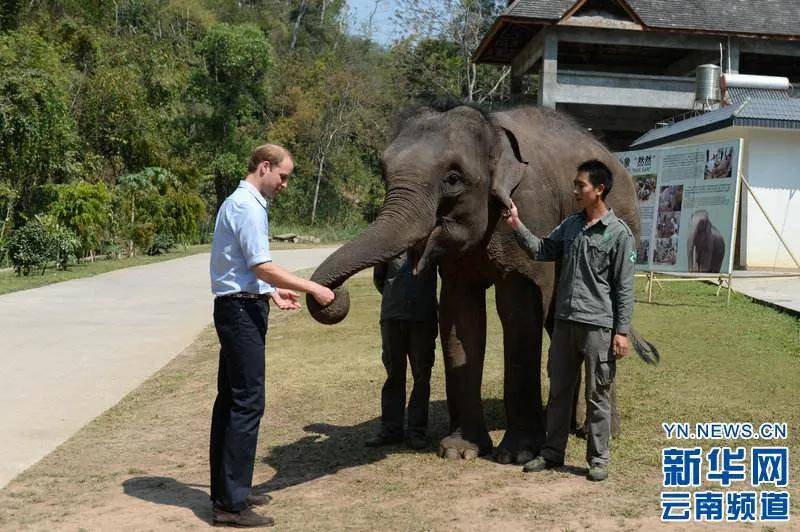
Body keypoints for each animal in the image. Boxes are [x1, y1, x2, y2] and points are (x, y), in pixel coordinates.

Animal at [306, 102, 644, 464]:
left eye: (453, 179)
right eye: (384, 173)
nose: (332, 295)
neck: (492, 129)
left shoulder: (532, 211)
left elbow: (519, 314)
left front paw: (517, 455)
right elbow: (459, 316)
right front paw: (459, 451)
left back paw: (598, 431)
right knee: (562, 327)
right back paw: (568, 426)